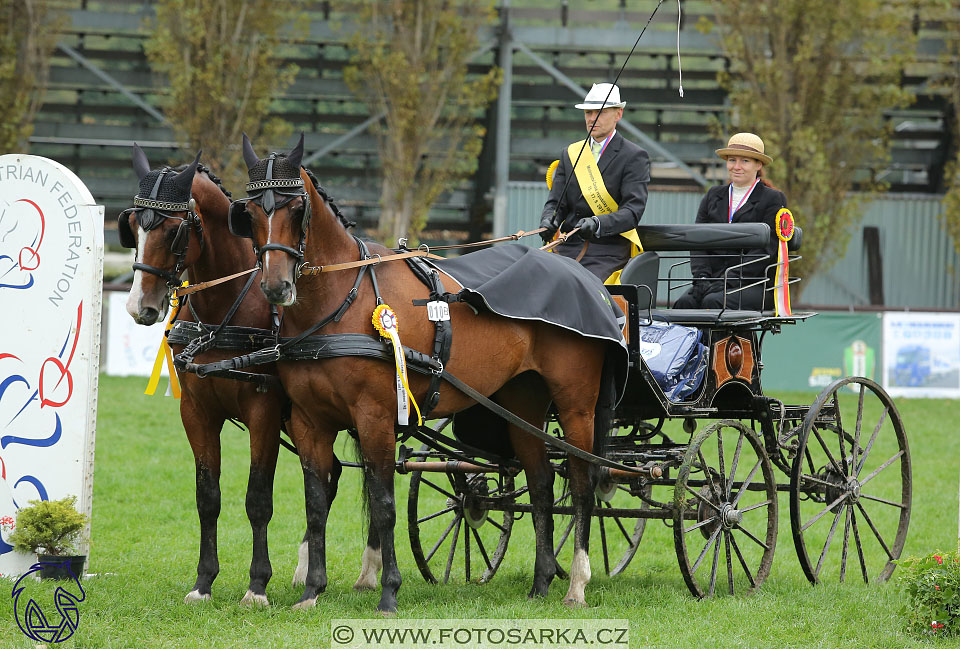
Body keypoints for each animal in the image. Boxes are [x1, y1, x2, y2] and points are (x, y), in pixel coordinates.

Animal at [118, 146, 328, 604]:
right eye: (132, 226)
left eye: (174, 230)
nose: (139, 307)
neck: (223, 312)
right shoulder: (197, 413)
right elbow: (207, 497)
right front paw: (203, 582)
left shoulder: (263, 413)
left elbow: (258, 499)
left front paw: (257, 585)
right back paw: (308, 570)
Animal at [235, 134, 620, 612]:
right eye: (250, 213)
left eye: (295, 207)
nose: (275, 287)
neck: (342, 300)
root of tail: (584, 278)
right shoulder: (310, 421)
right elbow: (316, 503)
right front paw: (311, 591)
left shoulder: (375, 416)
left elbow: (384, 504)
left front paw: (388, 591)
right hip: (523, 404)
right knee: (543, 483)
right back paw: (541, 581)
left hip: (576, 405)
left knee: (582, 483)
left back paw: (577, 583)